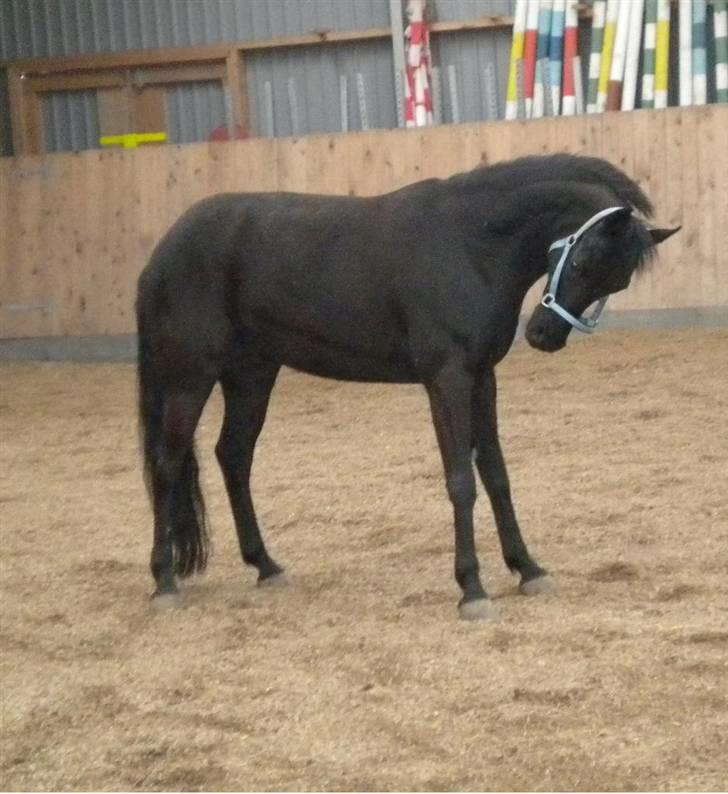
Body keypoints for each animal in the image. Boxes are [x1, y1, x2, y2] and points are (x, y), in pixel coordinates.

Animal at [136, 153, 678, 620]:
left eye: (614, 282)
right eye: (583, 261)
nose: (544, 336)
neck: (471, 242)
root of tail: (165, 250)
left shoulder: (482, 377)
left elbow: (497, 477)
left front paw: (528, 570)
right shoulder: (447, 378)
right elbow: (461, 481)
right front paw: (472, 590)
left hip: (251, 375)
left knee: (234, 457)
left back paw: (265, 567)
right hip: (190, 377)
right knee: (167, 463)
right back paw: (164, 581)